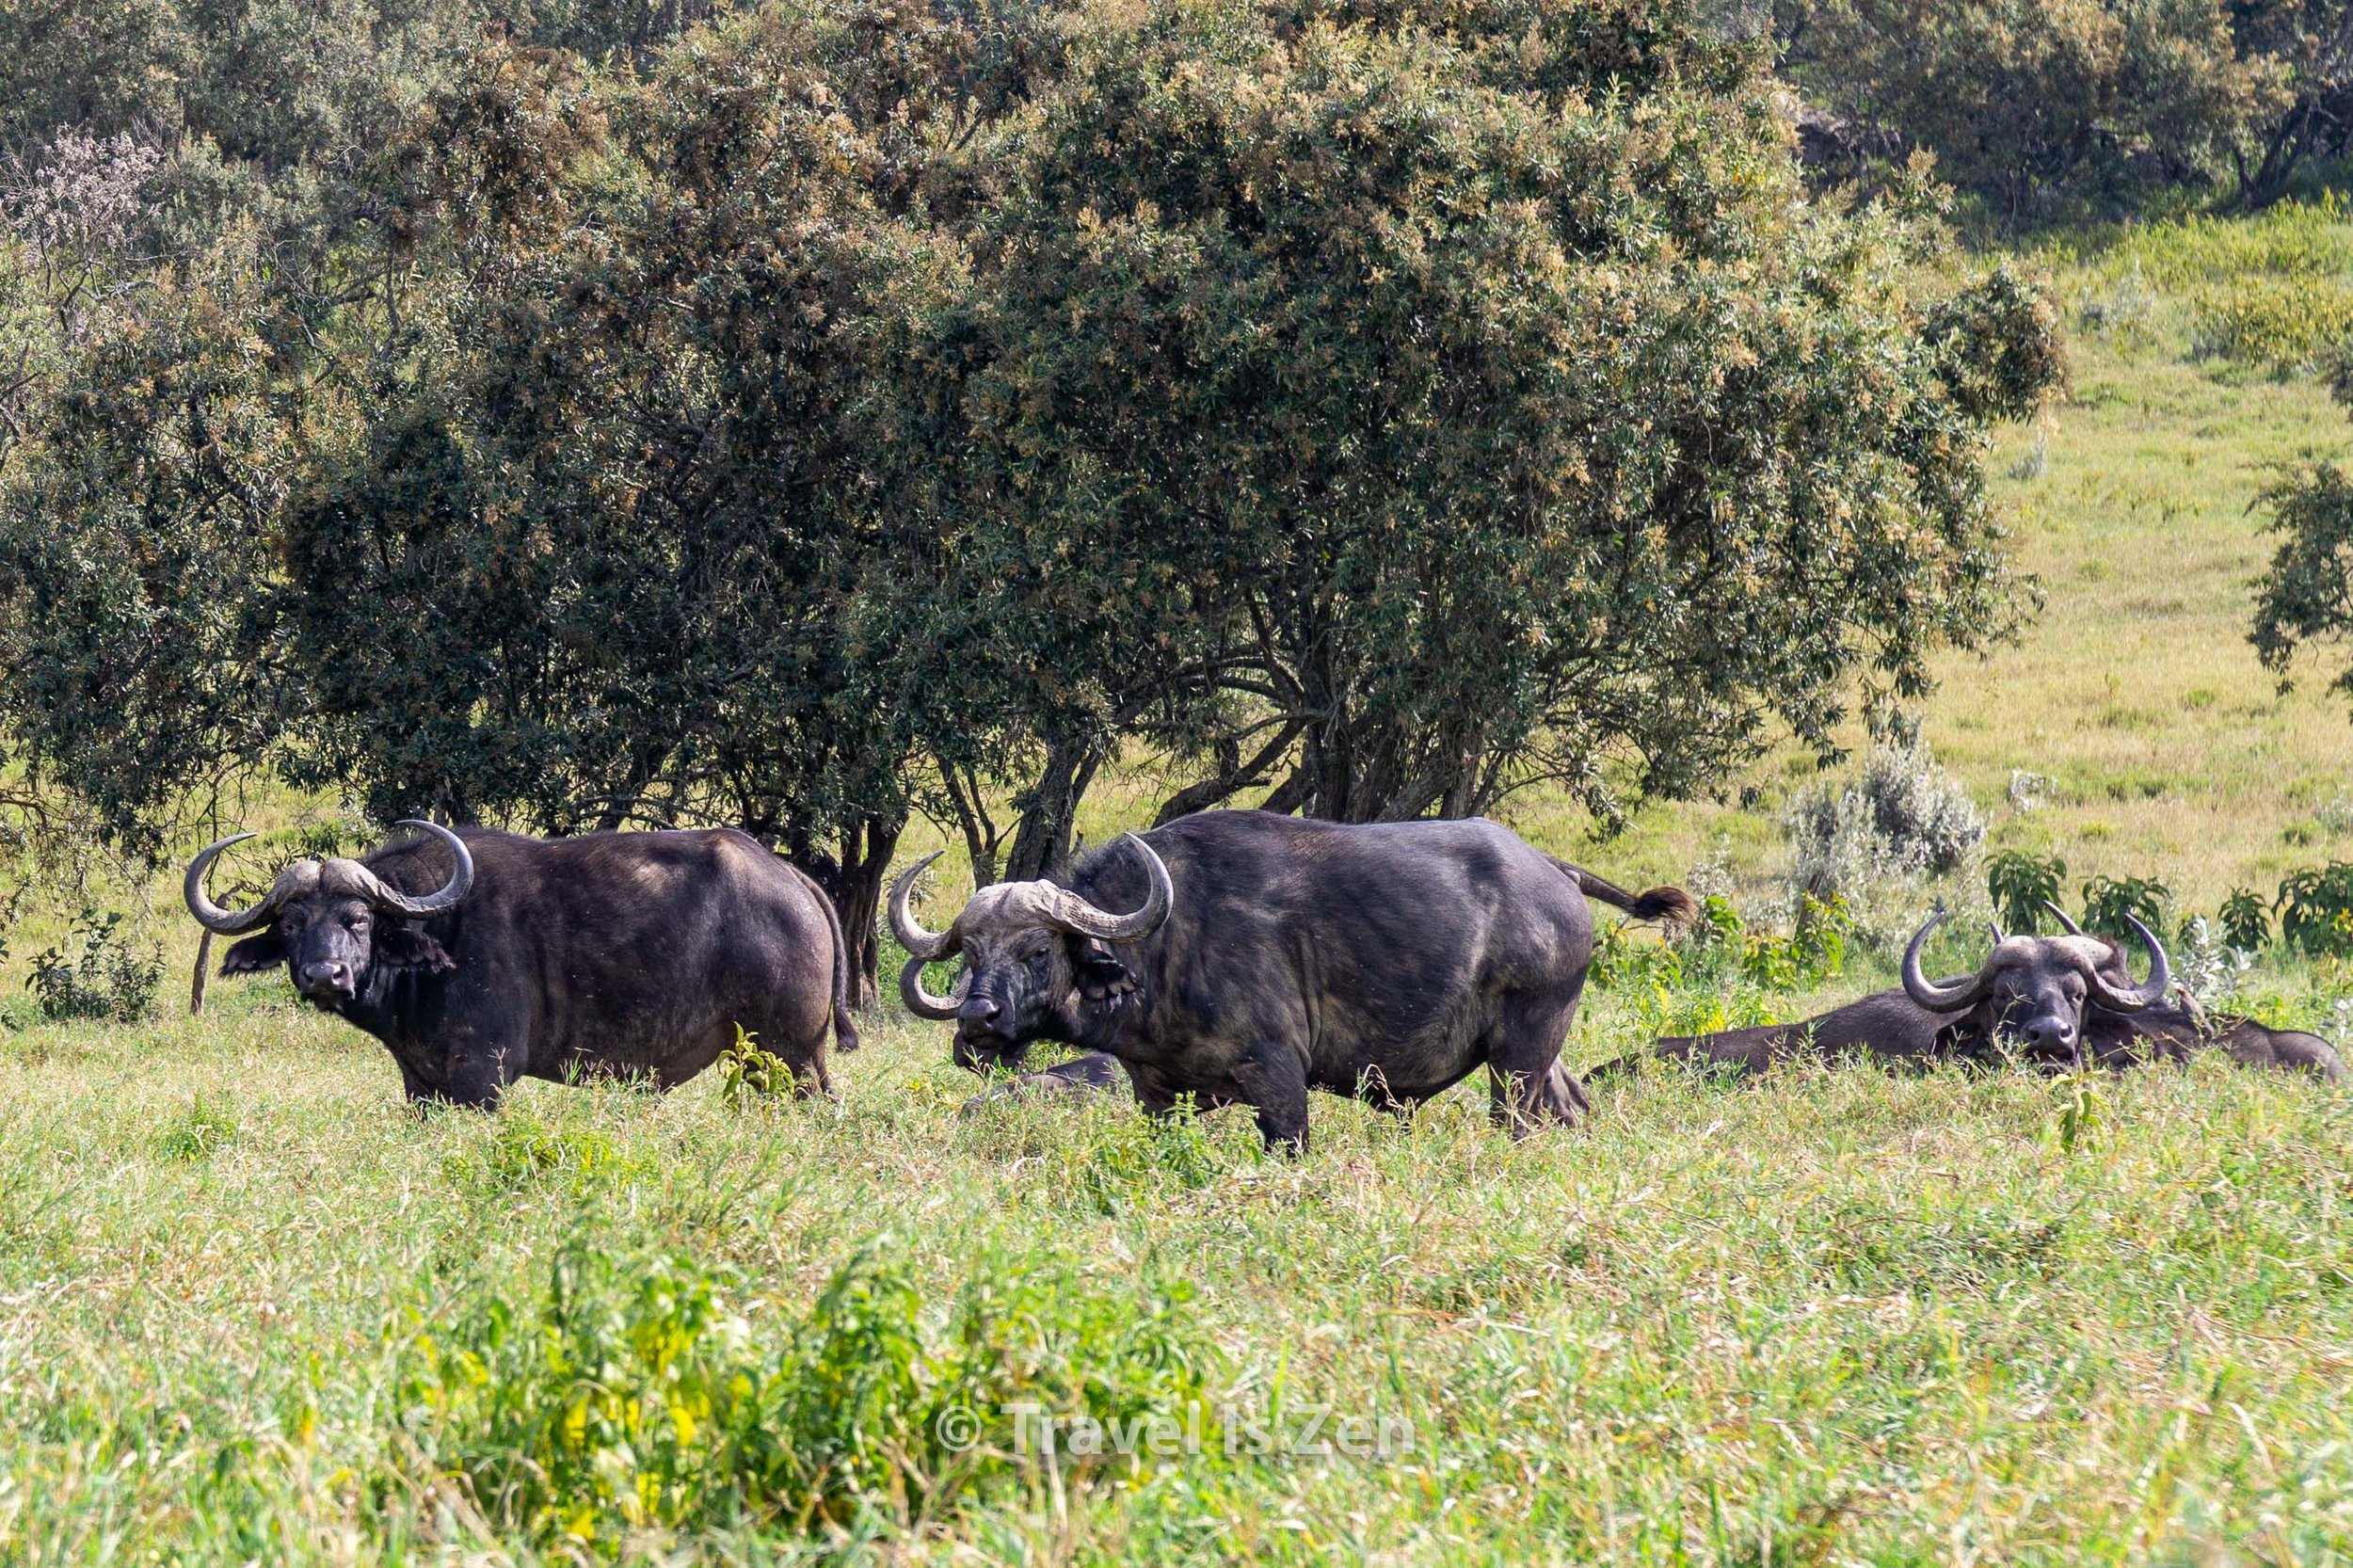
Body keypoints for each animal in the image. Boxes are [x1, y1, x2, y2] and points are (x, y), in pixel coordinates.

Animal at [188, 819, 861, 1096]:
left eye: (357, 920)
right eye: (292, 925)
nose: (323, 975)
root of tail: (791, 878)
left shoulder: (484, 1077)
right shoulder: (421, 1086)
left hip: (794, 1055)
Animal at [885, 805, 1694, 1148]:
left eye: (1037, 951)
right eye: (969, 954)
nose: (977, 1024)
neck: (1172, 943)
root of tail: (1552, 871)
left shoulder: (1278, 1080)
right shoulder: (1159, 1095)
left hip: (1518, 1058)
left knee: (1520, 1119)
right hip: (1538, 1054)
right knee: (1572, 1106)